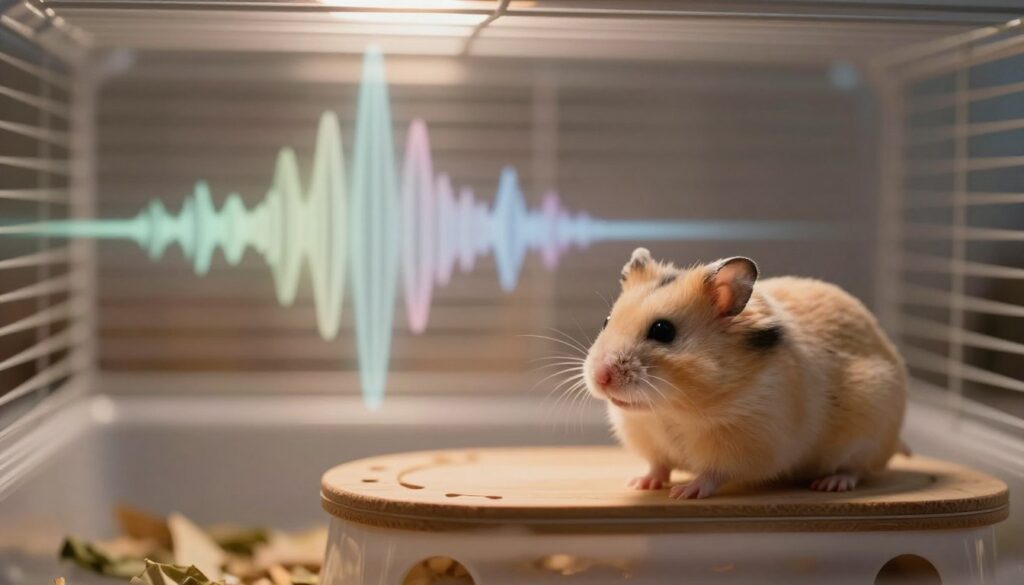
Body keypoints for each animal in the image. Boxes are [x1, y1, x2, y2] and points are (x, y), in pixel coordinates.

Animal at [583, 248, 907, 499]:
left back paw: (830, 484)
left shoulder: (742, 445)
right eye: (607, 321)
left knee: (856, 468)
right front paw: (640, 484)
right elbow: (658, 464)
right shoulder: (650, 440)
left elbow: (712, 473)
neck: (670, 411)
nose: (601, 377)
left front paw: (684, 492)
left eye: (663, 331)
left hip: (868, 430)